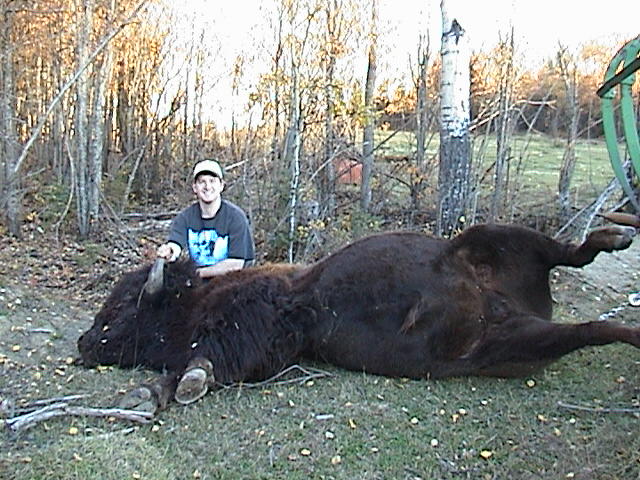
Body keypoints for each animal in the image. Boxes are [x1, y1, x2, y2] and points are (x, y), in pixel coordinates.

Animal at [78, 223, 640, 412]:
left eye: (122, 304)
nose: (83, 343)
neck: (194, 299)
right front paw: (147, 394)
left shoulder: (256, 316)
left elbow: (207, 357)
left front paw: (184, 383)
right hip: (507, 348)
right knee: (590, 328)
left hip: (490, 236)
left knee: (567, 251)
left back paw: (616, 236)